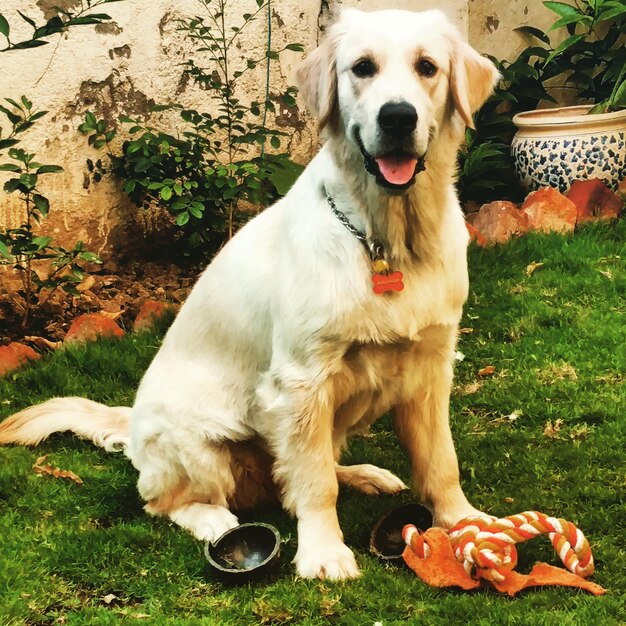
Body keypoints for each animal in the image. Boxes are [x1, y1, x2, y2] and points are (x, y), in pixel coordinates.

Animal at [0, 7, 498, 576]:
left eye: (427, 67)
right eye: (363, 67)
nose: (398, 118)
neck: (386, 240)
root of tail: (134, 425)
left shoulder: (432, 364)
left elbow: (440, 461)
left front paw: (464, 520)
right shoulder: (303, 380)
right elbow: (314, 484)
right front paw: (323, 551)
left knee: (297, 474)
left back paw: (363, 475)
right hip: (199, 446)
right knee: (169, 501)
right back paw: (215, 521)